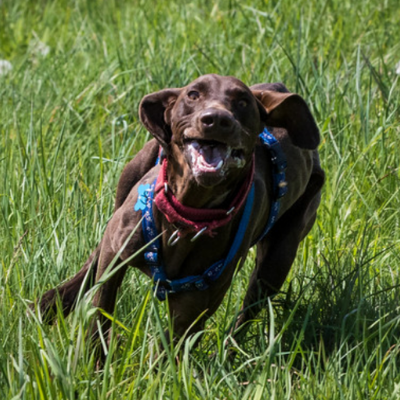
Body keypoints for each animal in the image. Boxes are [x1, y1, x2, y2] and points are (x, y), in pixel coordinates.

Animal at [32, 75, 324, 356]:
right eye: (193, 94)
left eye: (242, 102)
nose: (216, 119)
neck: (187, 215)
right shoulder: (116, 251)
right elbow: (100, 311)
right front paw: (95, 362)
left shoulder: (195, 303)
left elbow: (166, 351)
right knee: (92, 261)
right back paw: (50, 304)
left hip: (278, 259)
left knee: (248, 311)